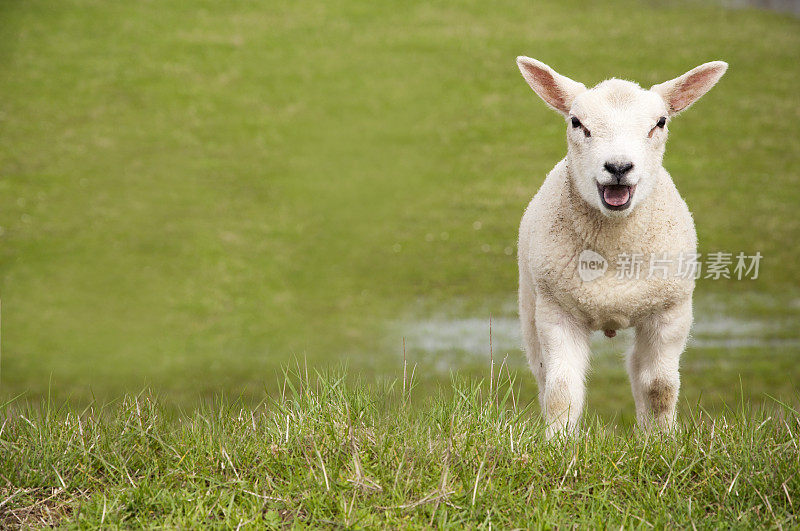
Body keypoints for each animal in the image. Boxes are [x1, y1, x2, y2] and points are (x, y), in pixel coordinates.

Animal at [516, 57, 728, 440]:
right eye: (577, 122)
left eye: (660, 123)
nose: (618, 167)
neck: (614, 254)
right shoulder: (557, 311)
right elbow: (561, 388)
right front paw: (558, 443)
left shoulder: (671, 311)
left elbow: (659, 386)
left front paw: (661, 440)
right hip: (530, 299)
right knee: (541, 371)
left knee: (637, 368)